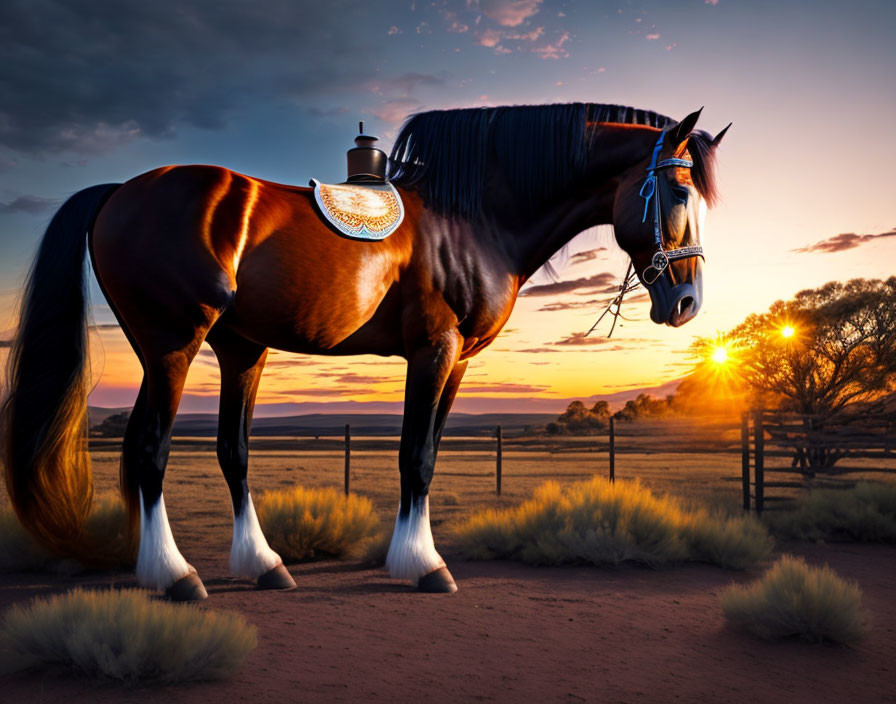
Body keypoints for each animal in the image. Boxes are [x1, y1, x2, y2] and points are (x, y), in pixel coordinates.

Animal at [0, 103, 728, 600]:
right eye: (678, 190)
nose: (687, 301)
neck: (473, 218)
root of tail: (119, 192)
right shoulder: (433, 350)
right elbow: (417, 458)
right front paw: (424, 566)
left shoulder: (459, 361)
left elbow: (424, 453)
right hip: (174, 345)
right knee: (150, 448)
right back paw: (176, 577)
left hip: (240, 352)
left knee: (230, 453)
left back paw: (262, 565)